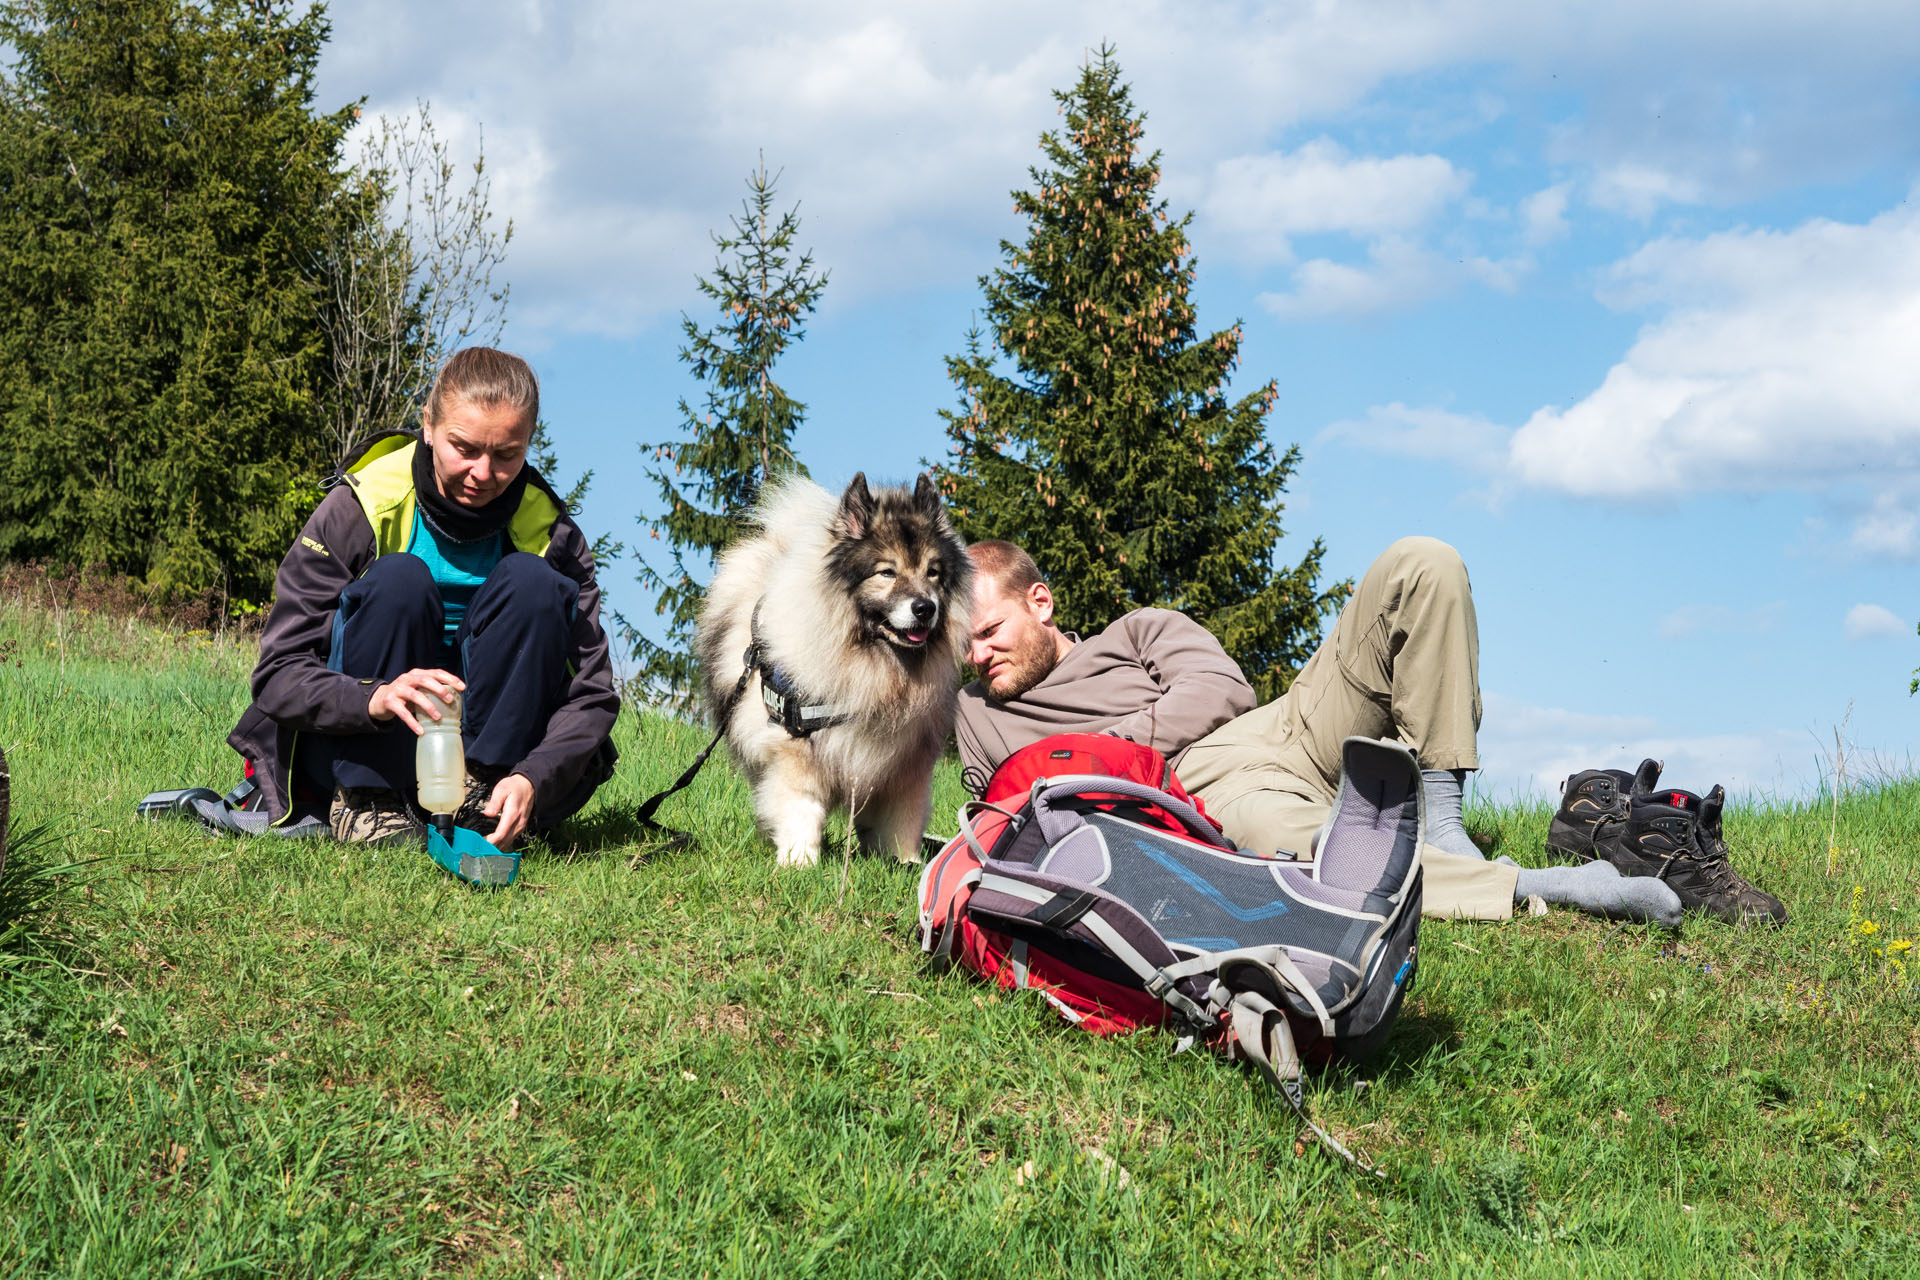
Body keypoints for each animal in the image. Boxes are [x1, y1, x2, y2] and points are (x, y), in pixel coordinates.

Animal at [695, 474, 975, 871]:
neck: (875, 667)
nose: (925, 608)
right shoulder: (796, 748)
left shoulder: (906, 763)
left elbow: (902, 818)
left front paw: (905, 863)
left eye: (932, 573)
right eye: (887, 572)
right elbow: (802, 805)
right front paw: (799, 860)